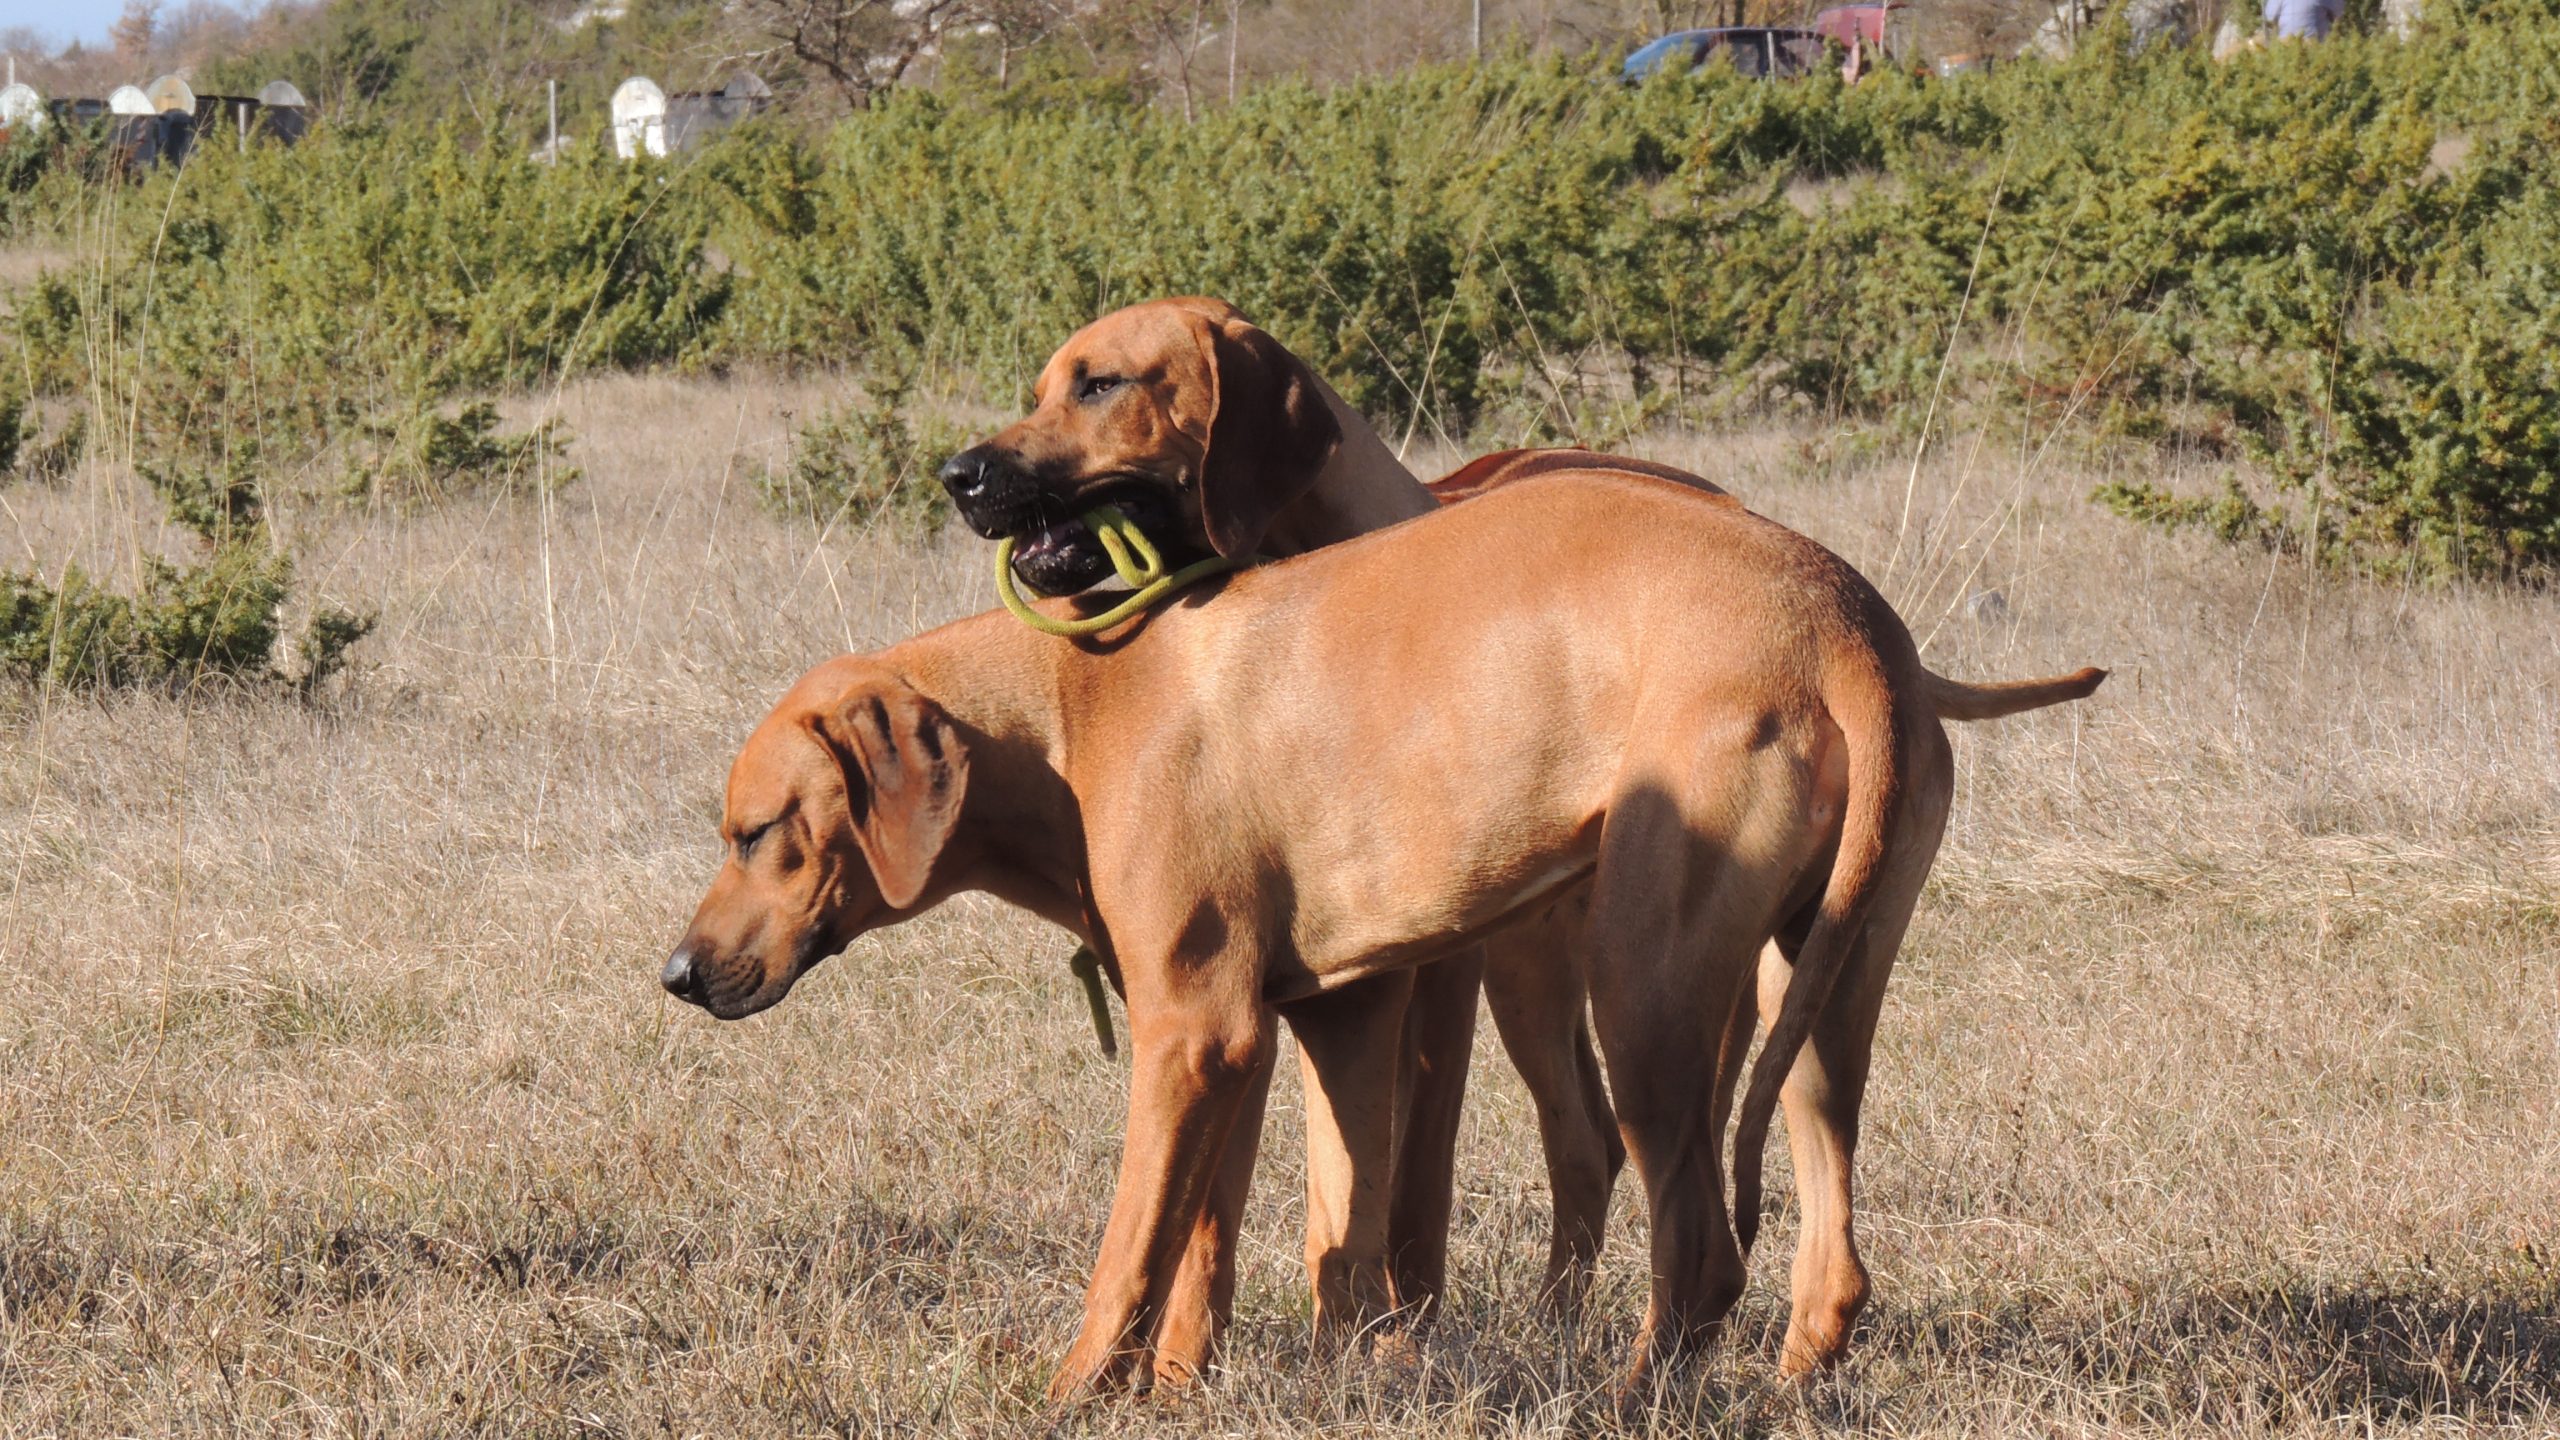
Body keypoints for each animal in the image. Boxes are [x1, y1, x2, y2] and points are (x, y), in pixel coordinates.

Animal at [670, 468, 2109, 1393]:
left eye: (756, 830)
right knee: (1826, 1237)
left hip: (1639, 988)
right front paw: (1241, 1387)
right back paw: (1793, 1377)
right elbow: (1274, 1242)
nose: (678, 973)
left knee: (1698, 1247)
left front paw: (1078, 1394)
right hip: (1820, 988)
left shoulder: (1193, 1034)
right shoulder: (1299, 1024)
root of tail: (1851, 628)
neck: (1073, 704)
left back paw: (1631, 1397)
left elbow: (1131, 1253)